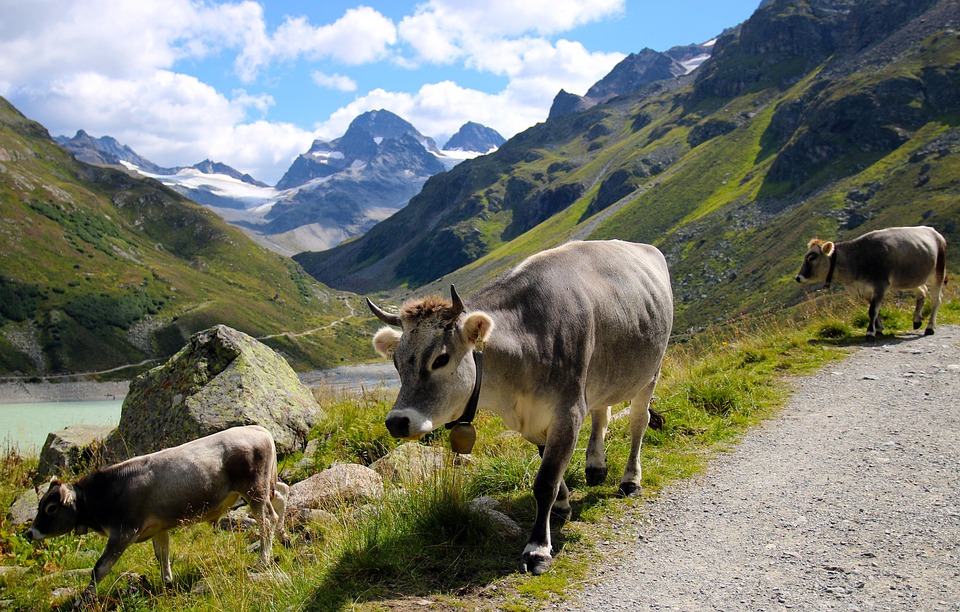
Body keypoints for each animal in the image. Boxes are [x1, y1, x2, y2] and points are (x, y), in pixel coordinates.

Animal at [26, 425, 288, 595]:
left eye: (50, 508)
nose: (29, 533)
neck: (108, 491)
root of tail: (257, 429)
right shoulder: (158, 528)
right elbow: (162, 554)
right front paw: (167, 583)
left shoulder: (123, 531)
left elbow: (100, 568)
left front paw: (85, 599)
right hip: (265, 486)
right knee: (282, 495)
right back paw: (284, 537)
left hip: (254, 490)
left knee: (267, 520)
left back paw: (263, 559)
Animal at [367, 240, 674, 575]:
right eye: (396, 363)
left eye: (441, 359)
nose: (397, 421)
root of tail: (645, 248)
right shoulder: (534, 418)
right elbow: (549, 469)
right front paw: (563, 506)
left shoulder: (568, 411)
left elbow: (545, 481)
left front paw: (538, 549)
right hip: (601, 378)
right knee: (602, 412)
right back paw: (596, 467)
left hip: (650, 372)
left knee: (637, 422)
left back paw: (630, 480)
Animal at [795, 226, 946, 339]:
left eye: (812, 257)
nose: (798, 277)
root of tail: (935, 232)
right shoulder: (865, 289)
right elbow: (876, 309)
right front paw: (878, 329)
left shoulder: (880, 285)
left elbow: (873, 310)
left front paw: (870, 333)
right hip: (912, 279)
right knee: (922, 292)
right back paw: (916, 320)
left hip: (938, 271)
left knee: (936, 299)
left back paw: (930, 327)